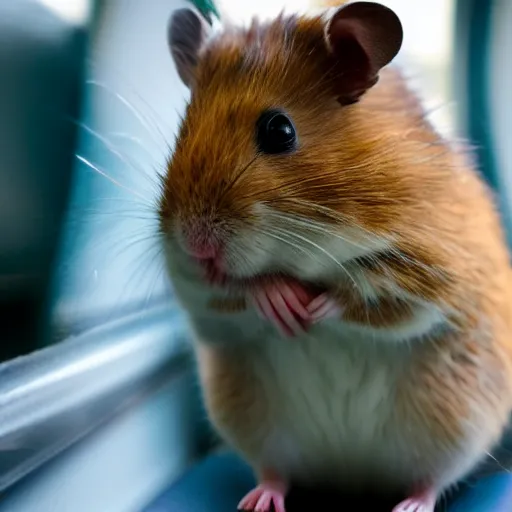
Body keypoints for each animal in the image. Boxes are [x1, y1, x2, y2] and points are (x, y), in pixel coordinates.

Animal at [158, 2, 512, 510]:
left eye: (279, 130)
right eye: (182, 129)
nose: (196, 244)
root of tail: (351, 480)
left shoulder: (428, 270)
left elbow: (365, 292)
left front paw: (310, 307)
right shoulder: (193, 284)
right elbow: (233, 289)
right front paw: (280, 300)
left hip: (457, 424)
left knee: (431, 479)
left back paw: (411, 505)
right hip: (258, 425)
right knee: (275, 471)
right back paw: (259, 500)